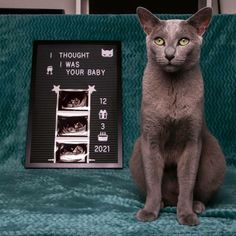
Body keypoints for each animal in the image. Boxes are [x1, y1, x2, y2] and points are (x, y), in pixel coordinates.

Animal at [129, 6, 227, 226]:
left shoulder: (192, 140)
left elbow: (187, 182)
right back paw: (162, 203)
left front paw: (187, 215)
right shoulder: (150, 138)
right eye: (159, 41)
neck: (172, 89)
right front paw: (149, 212)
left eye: (183, 41)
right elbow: (153, 180)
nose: (169, 54)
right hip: (137, 152)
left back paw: (197, 206)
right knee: (159, 190)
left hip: (214, 156)